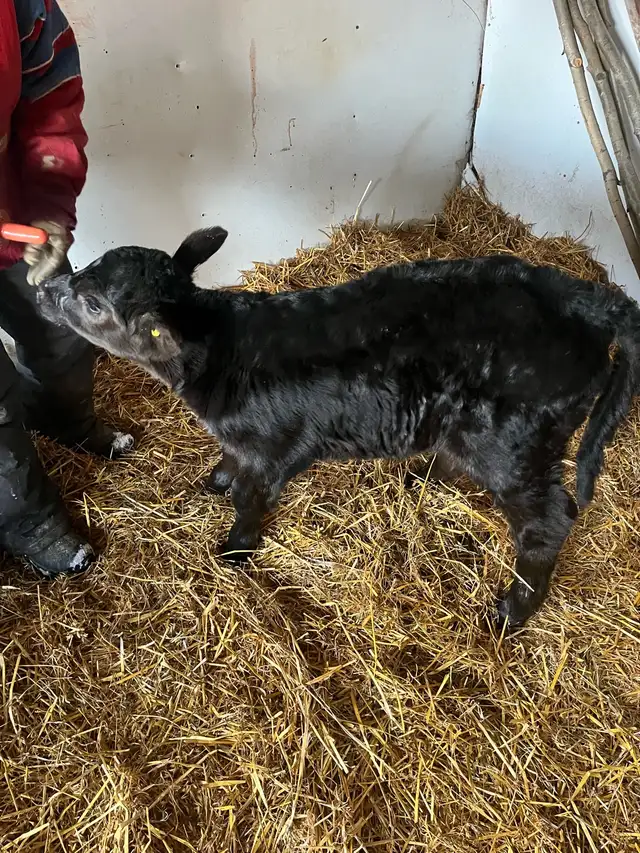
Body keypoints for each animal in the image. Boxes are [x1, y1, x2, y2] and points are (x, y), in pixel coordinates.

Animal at [35, 228, 640, 630]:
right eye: (87, 264)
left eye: (92, 304)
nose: (43, 291)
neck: (222, 351)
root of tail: (581, 297)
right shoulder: (244, 442)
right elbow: (229, 465)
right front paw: (215, 481)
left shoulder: (272, 451)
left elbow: (251, 499)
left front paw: (234, 550)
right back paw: (422, 480)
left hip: (514, 444)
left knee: (551, 518)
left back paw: (512, 610)